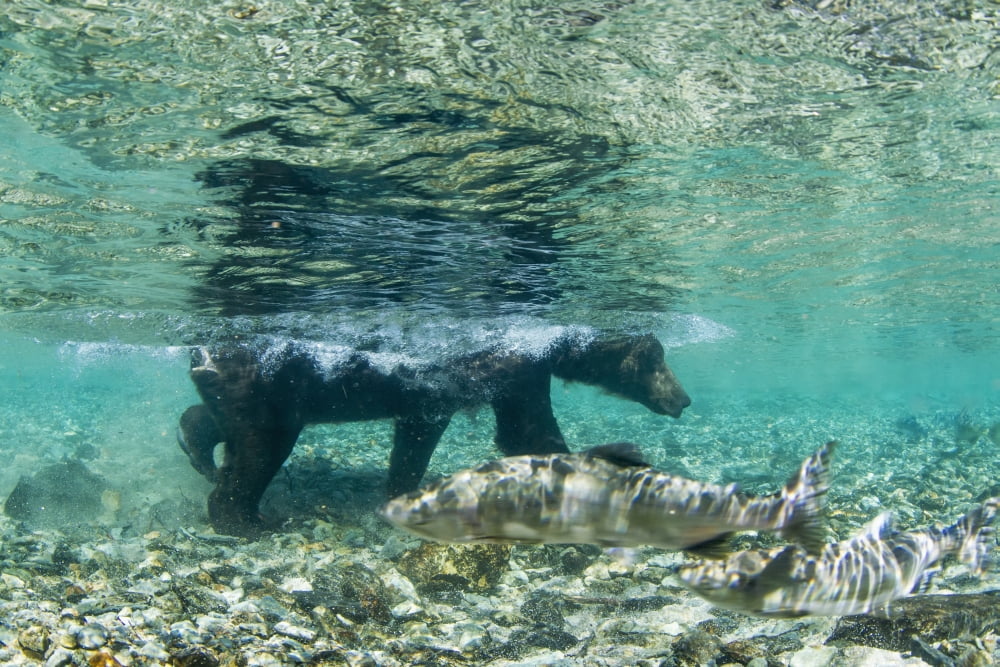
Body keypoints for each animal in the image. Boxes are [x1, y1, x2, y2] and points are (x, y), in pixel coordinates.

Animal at [178, 332, 690, 536]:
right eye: (658, 363)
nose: (684, 399)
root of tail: (203, 353)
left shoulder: (512, 378)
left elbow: (515, 429)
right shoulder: (501, 370)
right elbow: (528, 430)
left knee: (221, 424)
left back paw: (196, 446)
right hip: (271, 388)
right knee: (258, 452)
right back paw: (246, 519)